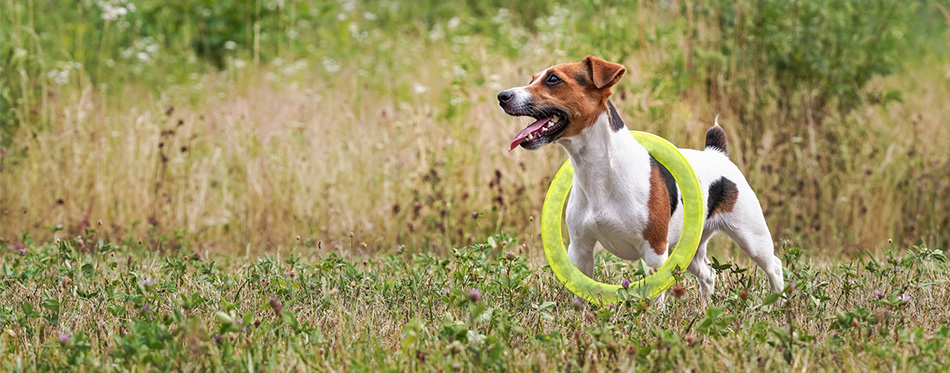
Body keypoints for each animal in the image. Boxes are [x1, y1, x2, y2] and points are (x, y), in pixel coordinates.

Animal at [498, 56, 788, 302]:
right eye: (533, 78)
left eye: (553, 79)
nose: (502, 96)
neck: (600, 170)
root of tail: (717, 153)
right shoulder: (580, 249)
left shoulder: (655, 251)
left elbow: (656, 297)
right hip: (691, 247)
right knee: (708, 274)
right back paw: (707, 308)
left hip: (752, 236)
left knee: (774, 266)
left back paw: (777, 305)